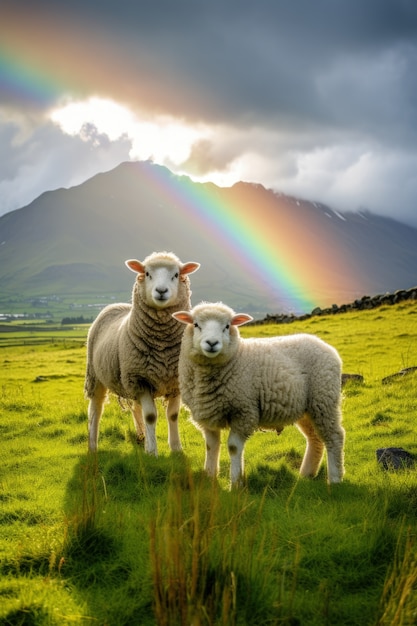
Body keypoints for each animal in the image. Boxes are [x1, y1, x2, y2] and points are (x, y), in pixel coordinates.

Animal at [83, 249, 199, 454]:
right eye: (147, 273)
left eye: (176, 274)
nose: (161, 291)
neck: (162, 345)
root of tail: (115, 305)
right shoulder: (141, 380)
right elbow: (151, 416)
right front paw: (152, 452)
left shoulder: (174, 380)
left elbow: (173, 415)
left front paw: (176, 448)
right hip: (96, 375)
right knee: (95, 409)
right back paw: (93, 446)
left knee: (136, 408)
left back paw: (141, 436)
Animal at [172, 300, 344, 486]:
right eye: (196, 325)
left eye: (227, 326)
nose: (212, 343)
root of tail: (325, 346)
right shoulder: (208, 415)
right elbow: (211, 446)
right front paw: (210, 479)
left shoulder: (244, 411)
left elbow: (234, 447)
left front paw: (236, 483)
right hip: (307, 408)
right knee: (315, 438)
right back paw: (306, 474)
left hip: (324, 399)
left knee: (334, 436)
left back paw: (335, 479)